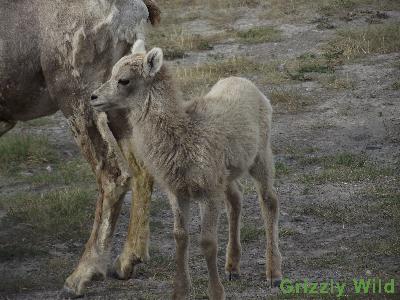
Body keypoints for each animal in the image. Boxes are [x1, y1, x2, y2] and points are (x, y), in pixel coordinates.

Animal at [1, 0, 161, 296]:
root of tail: (134, 9)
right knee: (142, 169)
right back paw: (126, 262)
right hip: (119, 101)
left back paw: (80, 277)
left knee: (113, 175)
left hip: (78, 98)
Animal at [90, 40, 282, 300]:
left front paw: (216, 292)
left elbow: (208, 242)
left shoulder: (209, 192)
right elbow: (180, 237)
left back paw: (273, 273)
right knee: (235, 199)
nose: (93, 97)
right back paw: (232, 267)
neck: (185, 133)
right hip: (226, 174)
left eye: (124, 80)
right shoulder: (178, 191)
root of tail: (242, 80)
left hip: (261, 155)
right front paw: (180, 291)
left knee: (269, 202)